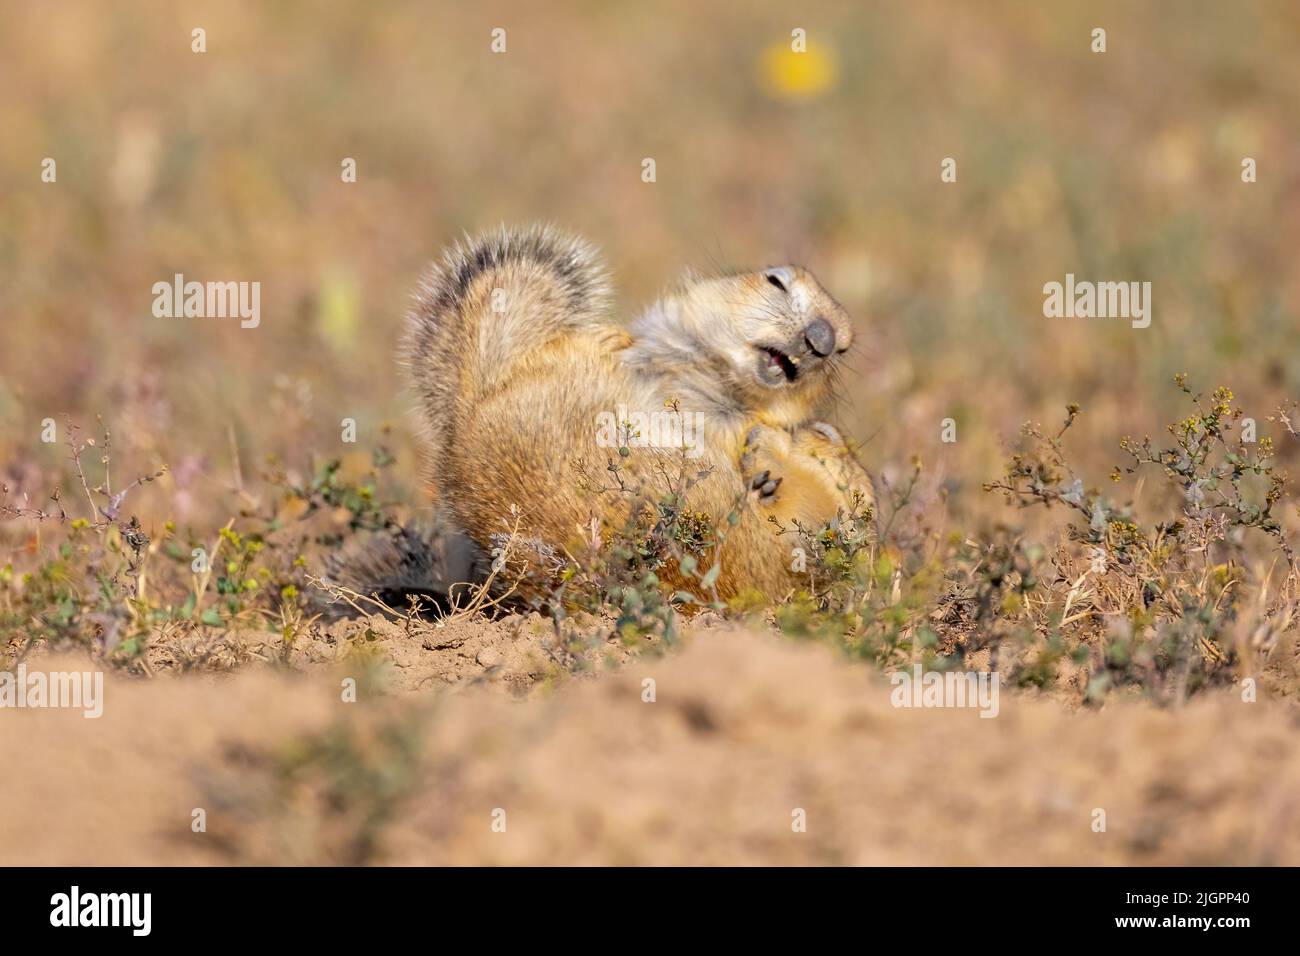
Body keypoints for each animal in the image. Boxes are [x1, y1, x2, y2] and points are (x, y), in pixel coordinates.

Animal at [397, 222, 873, 606]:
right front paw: (610, 338)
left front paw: (769, 464)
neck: (710, 382)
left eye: (845, 349)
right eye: (776, 280)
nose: (823, 339)